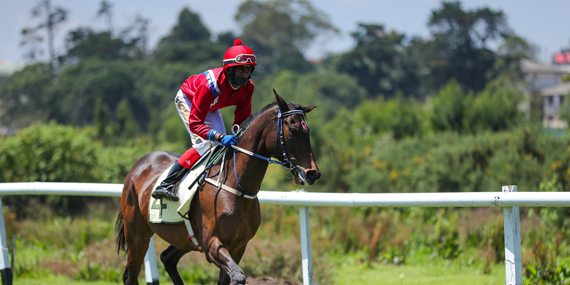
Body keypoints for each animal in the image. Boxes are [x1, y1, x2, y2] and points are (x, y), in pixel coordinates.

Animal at [115, 91, 320, 284]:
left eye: (308, 130)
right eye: (293, 129)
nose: (313, 173)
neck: (236, 186)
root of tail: (137, 167)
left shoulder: (238, 247)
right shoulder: (213, 244)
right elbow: (238, 276)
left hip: (185, 239)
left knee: (167, 258)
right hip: (137, 236)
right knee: (130, 276)